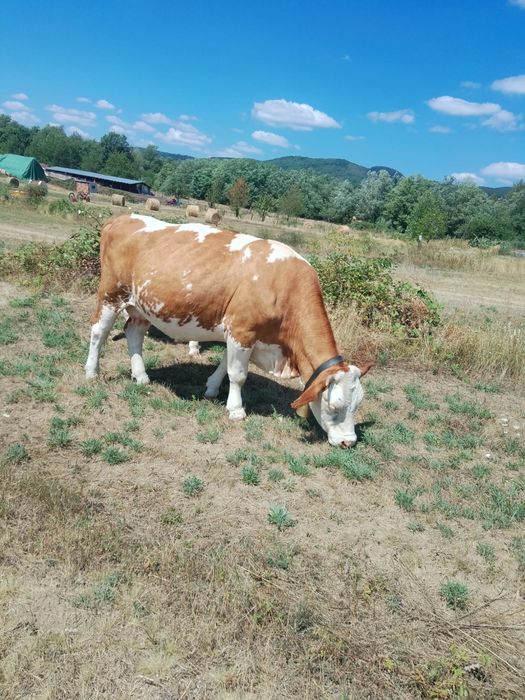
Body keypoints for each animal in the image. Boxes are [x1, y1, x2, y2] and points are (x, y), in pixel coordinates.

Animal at [85, 214, 371, 447]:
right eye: (334, 406)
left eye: (358, 405)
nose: (348, 442)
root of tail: (121, 218)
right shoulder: (242, 330)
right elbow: (238, 374)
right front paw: (235, 409)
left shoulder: (244, 334)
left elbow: (224, 364)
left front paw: (211, 388)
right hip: (111, 294)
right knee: (98, 332)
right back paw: (92, 372)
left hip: (143, 306)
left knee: (134, 334)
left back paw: (141, 376)